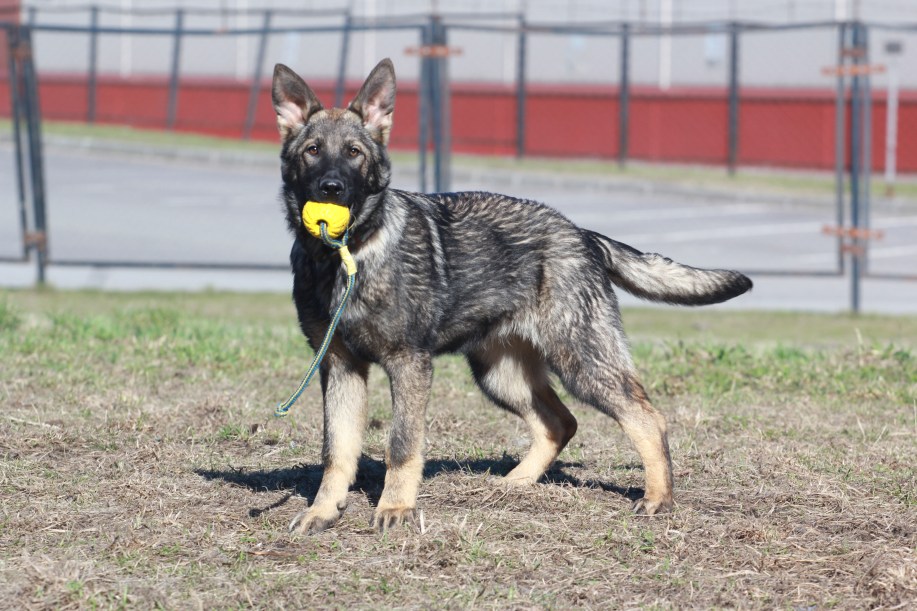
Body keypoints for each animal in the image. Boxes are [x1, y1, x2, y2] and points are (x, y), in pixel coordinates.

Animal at [271, 58, 752, 534]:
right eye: (313, 150)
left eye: (354, 153)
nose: (331, 188)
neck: (344, 256)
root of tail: (581, 233)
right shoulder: (340, 366)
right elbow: (337, 450)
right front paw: (323, 510)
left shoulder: (407, 364)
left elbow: (402, 445)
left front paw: (396, 509)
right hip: (501, 374)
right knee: (560, 423)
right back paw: (515, 483)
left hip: (581, 361)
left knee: (646, 418)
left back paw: (657, 499)